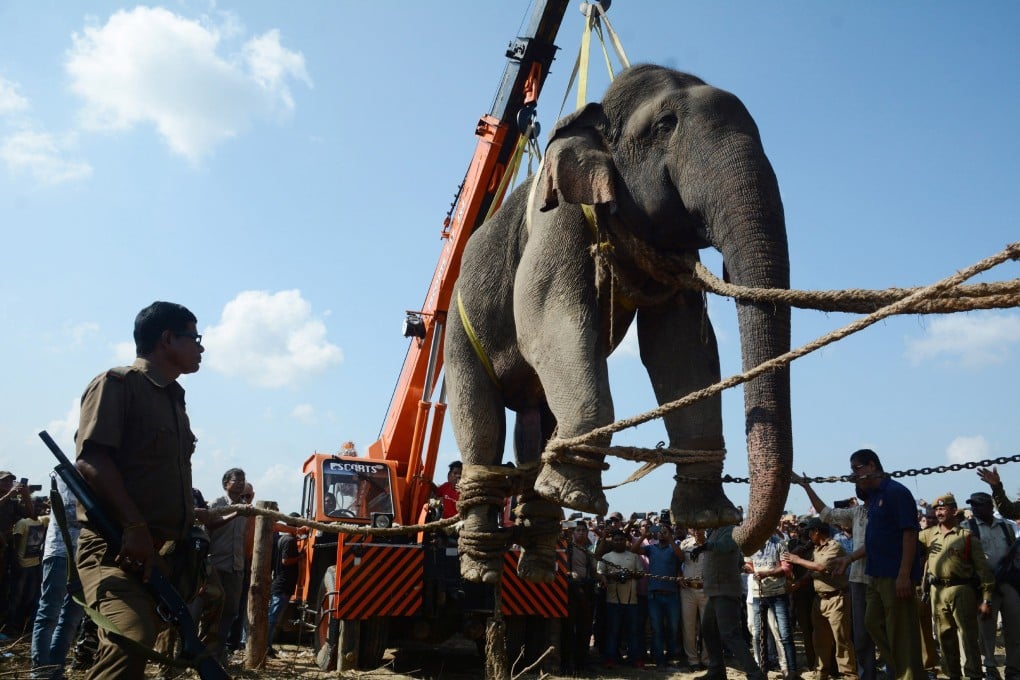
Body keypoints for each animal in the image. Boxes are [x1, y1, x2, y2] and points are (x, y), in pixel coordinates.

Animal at [445, 64, 791, 583]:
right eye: (666, 125)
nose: (742, 540)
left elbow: (680, 348)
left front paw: (707, 515)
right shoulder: (560, 215)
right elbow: (546, 315)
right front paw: (580, 499)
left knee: (535, 423)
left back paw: (539, 552)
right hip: (457, 335)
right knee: (481, 426)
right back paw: (482, 565)